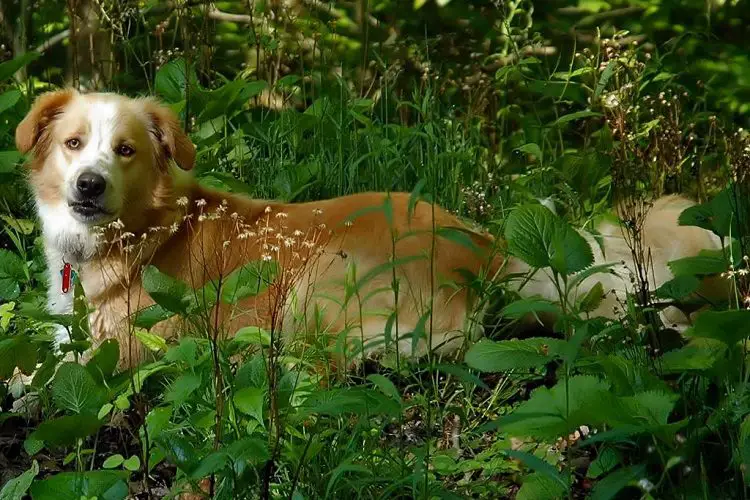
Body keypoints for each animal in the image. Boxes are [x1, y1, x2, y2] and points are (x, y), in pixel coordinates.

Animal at [14, 89, 502, 368]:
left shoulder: (123, 349)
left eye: (125, 150)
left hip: (316, 285)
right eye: (73, 143)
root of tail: (485, 250)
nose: (89, 184)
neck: (148, 230)